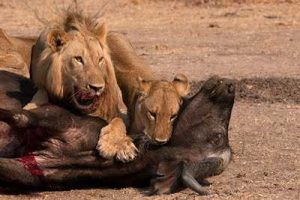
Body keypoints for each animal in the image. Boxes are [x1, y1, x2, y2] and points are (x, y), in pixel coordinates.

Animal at [0, 71, 236, 195]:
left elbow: (19, 119)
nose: (229, 85)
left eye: (218, 136)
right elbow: (18, 116)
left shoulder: (28, 168)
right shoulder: (53, 116)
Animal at [25, 12, 137, 162]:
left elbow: (119, 121)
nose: (97, 87)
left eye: (100, 59)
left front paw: (118, 146)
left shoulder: (117, 111)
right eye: (78, 59)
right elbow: (36, 101)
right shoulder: (42, 86)